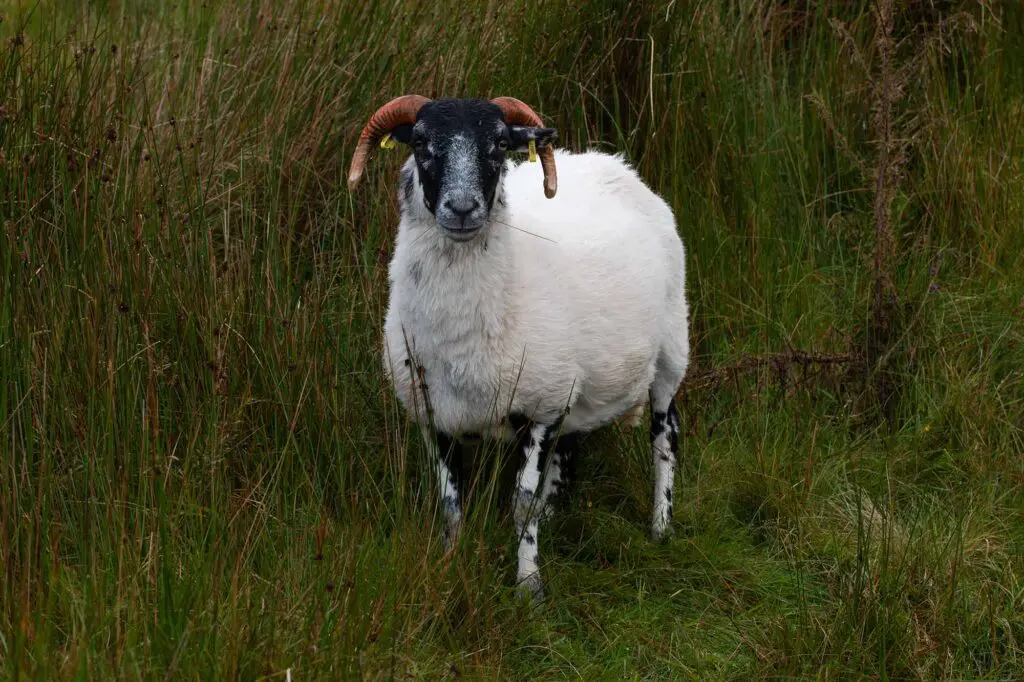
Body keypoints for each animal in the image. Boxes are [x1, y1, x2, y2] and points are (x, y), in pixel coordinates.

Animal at [347, 95, 689, 601]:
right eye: (422, 143)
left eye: (499, 144)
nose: (463, 208)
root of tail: (613, 163)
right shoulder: (437, 417)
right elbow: (451, 504)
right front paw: (450, 566)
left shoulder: (540, 408)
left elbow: (519, 503)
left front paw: (529, 588)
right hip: (579, 382)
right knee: (574, 439)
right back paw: (557, 511)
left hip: (671, 349)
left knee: (665, 435)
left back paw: (661, 526)